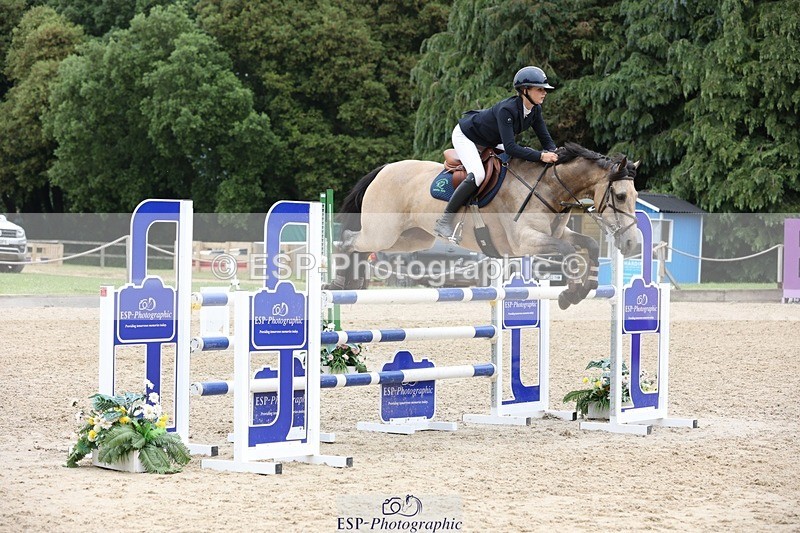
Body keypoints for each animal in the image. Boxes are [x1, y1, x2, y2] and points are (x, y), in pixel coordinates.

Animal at [332, 142, 640, 309]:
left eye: (636, 196)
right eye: (620, 196)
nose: (632, 244)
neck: (550, 187)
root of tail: (383, 170)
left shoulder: (556, 232)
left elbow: (588, 244)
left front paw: (584, 289)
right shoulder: (524, 240)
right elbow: (569, 253)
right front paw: (570, 293)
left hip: (410, 238)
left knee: (360, 246)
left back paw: (354, 283)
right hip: (383, 233)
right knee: (347, 240)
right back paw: (337, 283)